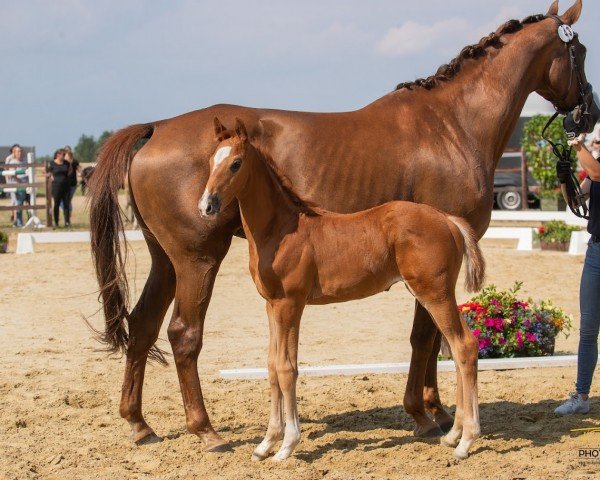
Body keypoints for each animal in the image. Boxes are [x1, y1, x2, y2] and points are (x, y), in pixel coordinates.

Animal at [199, 118, 486, 460]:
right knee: (457, 350)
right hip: (437, 295)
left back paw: (466, 442)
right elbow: (271, 367)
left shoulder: (290, 304)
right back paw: (453, 435)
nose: (206, 205)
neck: (280, 230)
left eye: (236, 163)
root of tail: (448, 220)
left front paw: (287, 445)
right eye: (211, 161)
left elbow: (286, 368)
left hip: (435, 294)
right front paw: (266, 443)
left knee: (464, 347)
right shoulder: (271, 305)